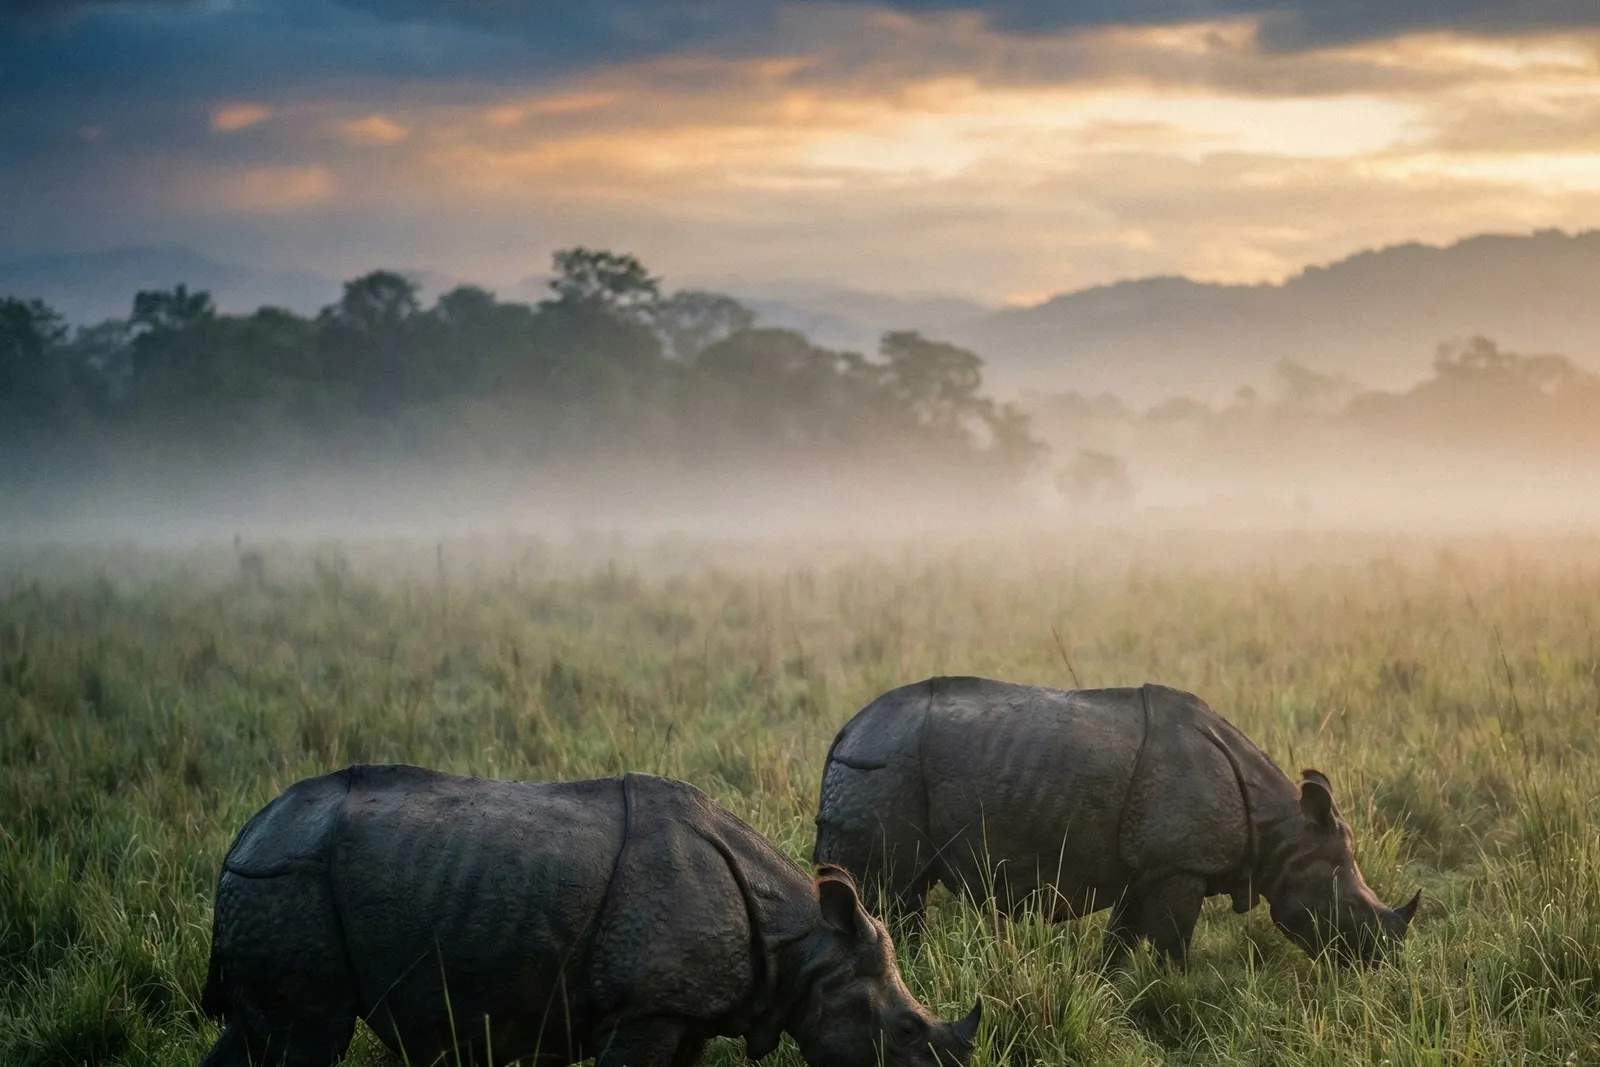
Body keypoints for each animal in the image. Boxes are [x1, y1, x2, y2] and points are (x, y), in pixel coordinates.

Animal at [199, 764, 980, 1067]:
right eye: (905, 1030)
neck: (805, 944)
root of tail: (243, 837)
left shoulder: (682, 1012)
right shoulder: (645, 1008)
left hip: (282, 882)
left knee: (259, 1036)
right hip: (290, 884)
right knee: (304, 1036)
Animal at [813, 677, 1420, 965]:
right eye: (1349, 911)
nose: (1381, 962)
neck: (1282, 830)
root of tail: (846, 730)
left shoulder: (1148, 868)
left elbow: (1121, 944)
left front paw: (1111, 992)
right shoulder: (1180, 867)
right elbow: (1173, 946)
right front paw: (1175, 993)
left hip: (884, 765)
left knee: (902, 897)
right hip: (884, 768)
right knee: (885, 891)